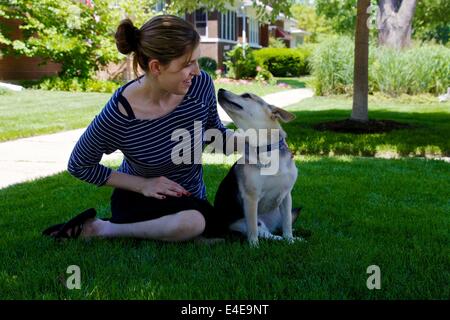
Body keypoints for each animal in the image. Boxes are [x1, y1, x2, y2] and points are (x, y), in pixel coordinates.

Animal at [215, 89, 304, 246]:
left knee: (278, 228)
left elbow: (287, 223)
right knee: (264, 232)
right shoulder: (251, 198)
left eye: (246, 96)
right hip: (240, 223)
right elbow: (252, 228)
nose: (220, 90)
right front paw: (254, 245)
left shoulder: (286, 196)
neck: (267, 150)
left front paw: (290, 240)